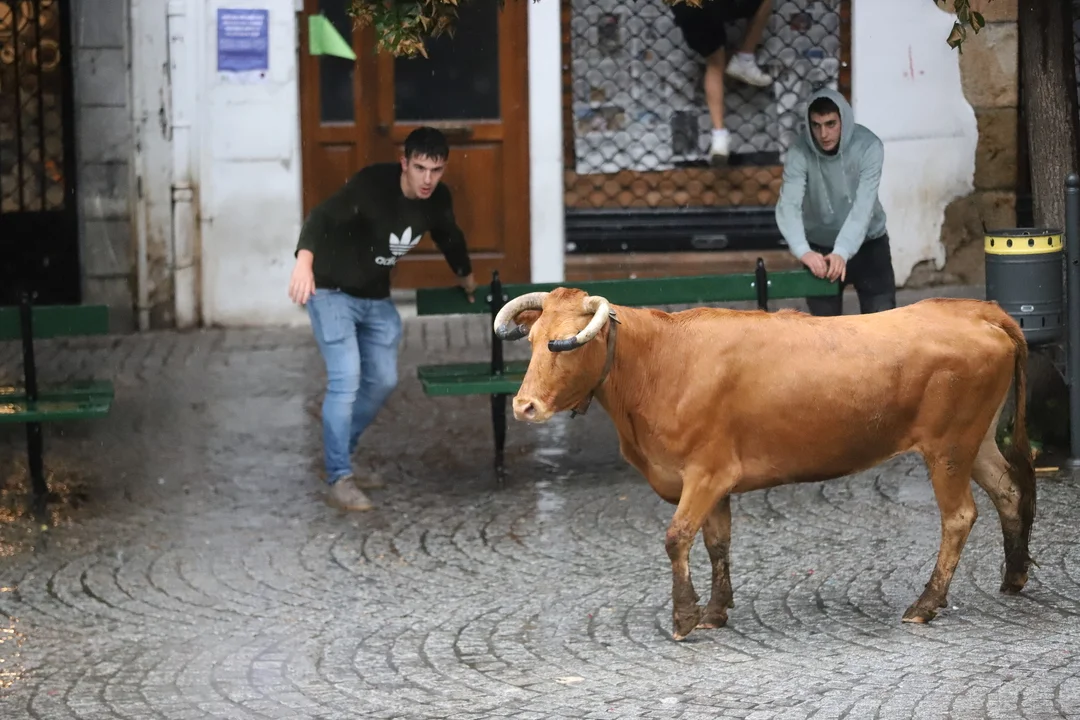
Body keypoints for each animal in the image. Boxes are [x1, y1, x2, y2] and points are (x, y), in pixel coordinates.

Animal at [493, 287, 1037, 641]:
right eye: (533, 338)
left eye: (566, 343)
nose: (524, 406)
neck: (662, 362)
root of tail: (978, 311)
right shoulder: (713, 480)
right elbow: (716, 543)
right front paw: (715, 610)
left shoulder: (706, 473)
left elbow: (677, 538)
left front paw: (684, 616)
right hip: (976, 443)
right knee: (1009, 492)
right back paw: (1013, 577)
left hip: (948, 448)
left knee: (959, 516)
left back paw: (925, 604)